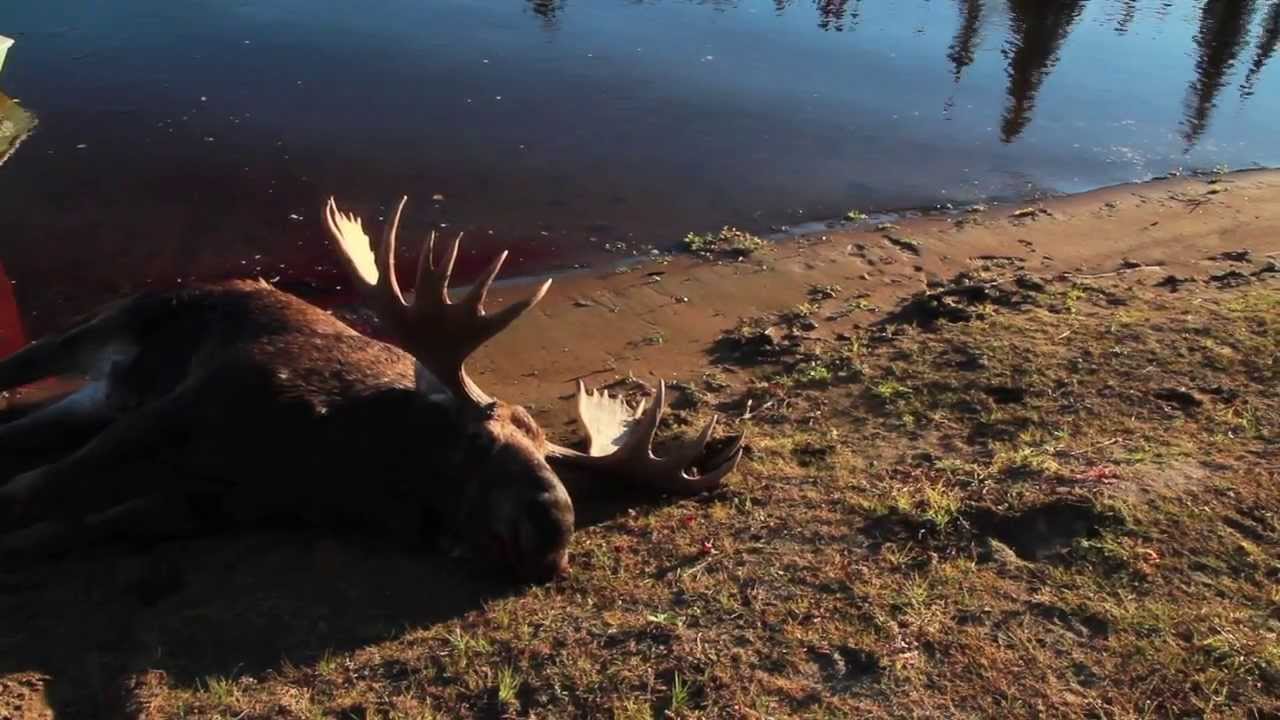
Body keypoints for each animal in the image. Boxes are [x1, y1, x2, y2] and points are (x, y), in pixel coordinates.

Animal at [0, 196, 742, 582]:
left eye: (550, 458)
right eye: (482, 442)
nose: (553, 533)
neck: (344, 467)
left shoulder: (205, 502)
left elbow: (60, 524)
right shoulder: (182, 412)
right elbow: (29, 493)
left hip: (95, 399)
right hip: (107, 326)